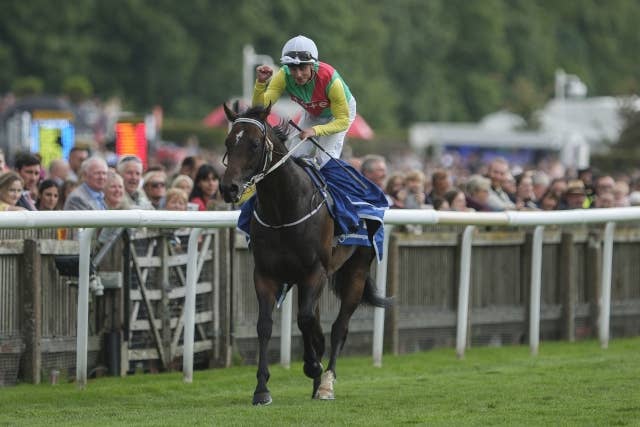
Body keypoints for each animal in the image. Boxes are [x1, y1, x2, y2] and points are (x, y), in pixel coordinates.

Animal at [220, 103, 390, 405]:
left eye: (254, 145)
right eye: (229, 142)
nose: (228, 188)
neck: (283, 210)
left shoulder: (314, 272)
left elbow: (305, 319)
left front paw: (312, 366)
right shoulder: (265, 273)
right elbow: (266, 325)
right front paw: (261, 389)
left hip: (356, 271)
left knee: (339, 327)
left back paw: (326, 383)